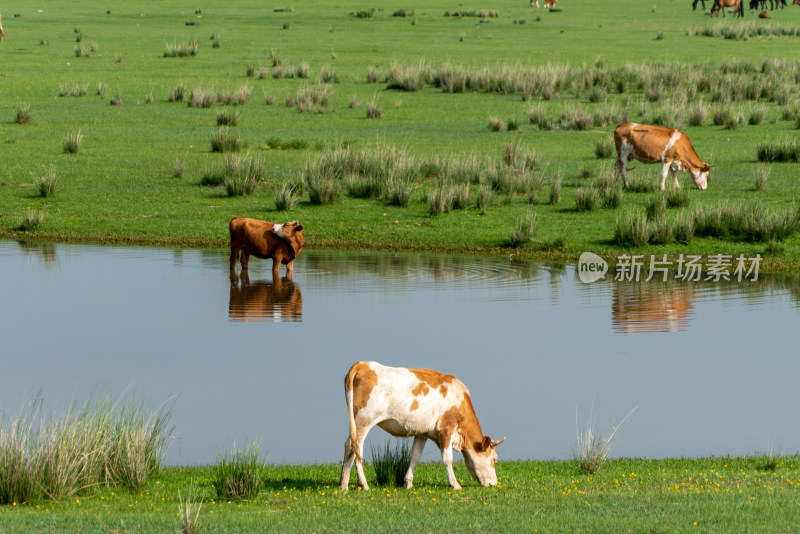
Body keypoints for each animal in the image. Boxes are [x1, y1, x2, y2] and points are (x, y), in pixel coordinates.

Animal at [340, 362, 504, 492]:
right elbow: (448, 458)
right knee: (354, 447)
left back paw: (344, 484)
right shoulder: (446, 428)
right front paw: (455, 484)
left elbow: (415, 456)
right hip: (363, 421)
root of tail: (362, 364)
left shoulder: (422, 433)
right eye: (494, 460)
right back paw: (362, 484)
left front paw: (408, 483)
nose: (494, 483)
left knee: (352, 448)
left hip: (357, 423)